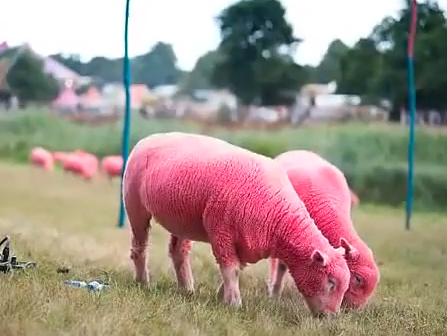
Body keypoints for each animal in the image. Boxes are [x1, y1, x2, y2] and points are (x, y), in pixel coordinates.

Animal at [123, 132, 354, 318]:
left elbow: (235, 271)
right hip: (136, 205)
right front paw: (234, 303)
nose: (330, 318)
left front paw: (221, 297)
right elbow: (231, 270)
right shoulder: (221, 232)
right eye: (331, 282)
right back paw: (143, 282)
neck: (279, 219)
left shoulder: (246, 243)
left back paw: (186, 289)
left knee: (178, 251)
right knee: (140, 247)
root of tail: (149, 138)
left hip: (181, 218)